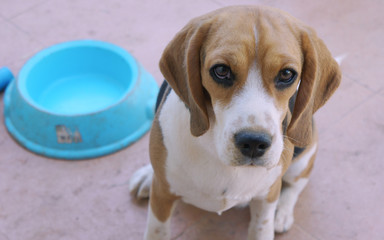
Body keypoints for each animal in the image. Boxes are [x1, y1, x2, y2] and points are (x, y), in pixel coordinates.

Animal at [130, 5, 342, 240]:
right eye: (221, 70)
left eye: (287, 74)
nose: (254, 143)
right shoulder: (162, 197)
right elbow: (156, 230)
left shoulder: (266, 198)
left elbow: (264, 224)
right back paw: (147, 175)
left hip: (304, 155)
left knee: (297, 184)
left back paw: (282, 212)